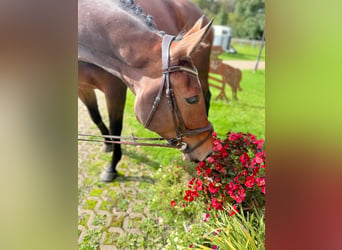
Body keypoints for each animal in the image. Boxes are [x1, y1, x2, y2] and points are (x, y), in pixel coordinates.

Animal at [80, 0, 214, 181]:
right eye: (192, 99)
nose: (208, 152)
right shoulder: (82, 88)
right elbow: (95, 117)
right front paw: (108, 146)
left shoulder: (114, 88)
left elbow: (116, 128)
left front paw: (112, 167)